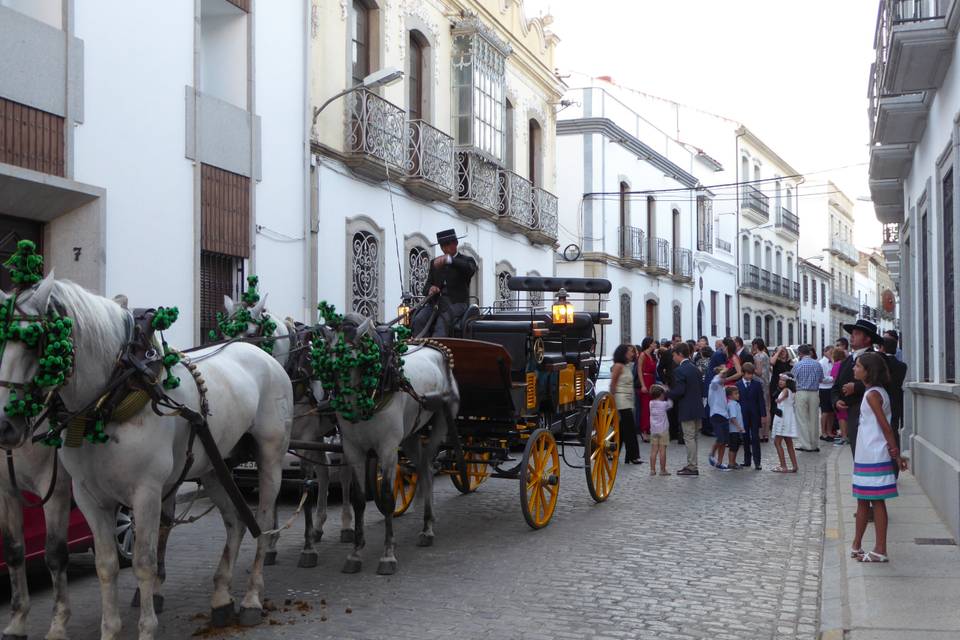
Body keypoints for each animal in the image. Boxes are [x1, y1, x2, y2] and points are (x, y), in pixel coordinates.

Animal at [0, 440, 72, 640]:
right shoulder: (7, 491)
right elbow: (13, 552)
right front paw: (16, 624)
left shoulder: (54, 486)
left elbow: (55, 556)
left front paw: (58, 626)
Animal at [219, 292, 354, 568]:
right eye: (224, 333)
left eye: (251, 334)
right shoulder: (283, 443)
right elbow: (276, 490)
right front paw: (271, 546)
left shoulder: (304, 438)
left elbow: (305, 484)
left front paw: (307, 549)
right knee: (325, 472)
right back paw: (320, 526)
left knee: (344, 474)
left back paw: (346, 525)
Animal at [316, 316, 458, 576]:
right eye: (330, 365)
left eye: (354, 361)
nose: (345, 406)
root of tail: (434, 347)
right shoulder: (353, 450)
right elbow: (359, 499)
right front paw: (355, 553)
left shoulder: (388, 449)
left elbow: (388, 497)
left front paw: (388, 555)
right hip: (411, 436)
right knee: (424, 469)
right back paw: (426, 526)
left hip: (442, 423)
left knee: (429, 465)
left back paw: (428, 527)